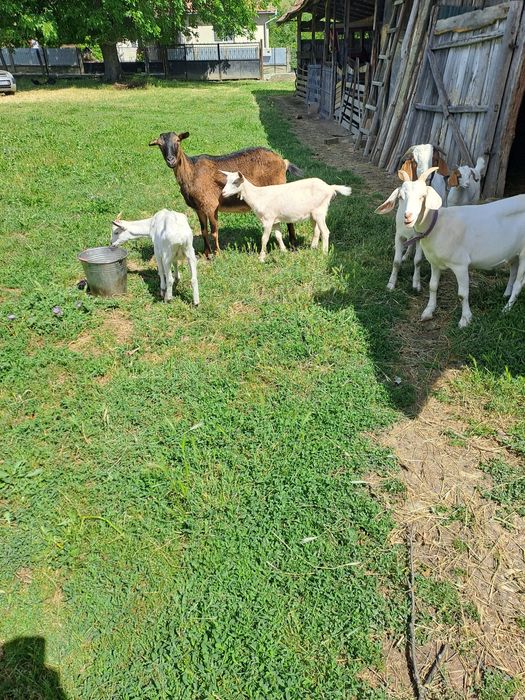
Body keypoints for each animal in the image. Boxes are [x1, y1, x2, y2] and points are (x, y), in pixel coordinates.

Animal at [149, 132, 303, 257]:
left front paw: (217, 254)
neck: (192, 172)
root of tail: (283, 161)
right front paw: (207, 253)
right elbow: (204, 230)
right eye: (159, 144)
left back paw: (293, 245)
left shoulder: (211, 205)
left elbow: (214, 231)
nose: (171, 160)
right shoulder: (199, 208)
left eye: (178, 141)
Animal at [220, 171, 351, 262]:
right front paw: (284, 251)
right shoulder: (275, 220)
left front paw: (261, 258)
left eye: (235, 182)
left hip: (320, 211)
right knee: (317, 230)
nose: (223, 193)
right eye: (226, 181)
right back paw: (312, 248)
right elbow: (278, 236)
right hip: (314, 213)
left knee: (325, 231)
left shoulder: (268, 219)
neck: (257, 196)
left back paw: (324, 253)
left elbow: (264, 239)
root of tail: (330, 187)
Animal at [376, 167, 525, 327]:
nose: (408, 217)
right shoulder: (434, 262)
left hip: (524, 254)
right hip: (513, 252)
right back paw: (506, 294)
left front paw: (465, 319)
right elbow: (432, 286)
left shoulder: (461, 265)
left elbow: (462, 294)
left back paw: (506, 309)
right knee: (513, 271)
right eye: (401, 197)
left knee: (519, 283)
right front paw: (428, 311)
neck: (438, 225)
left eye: (423, 197)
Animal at [387, 143, 451, 292]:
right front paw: (391, 283)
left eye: (434, 159)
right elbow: (396, 261)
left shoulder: (422, 236)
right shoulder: (399, 234)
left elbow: (418, 261)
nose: (424, 176)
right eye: (414, 161)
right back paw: (406, 255)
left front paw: (416, 284)